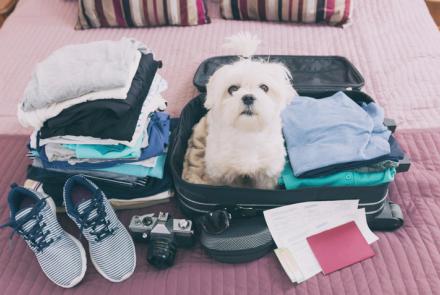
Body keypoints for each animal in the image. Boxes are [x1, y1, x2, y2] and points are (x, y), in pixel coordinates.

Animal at [180, 32, 298, 190]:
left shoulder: (266, 174)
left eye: (264, 87)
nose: (248, 97)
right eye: (233, 89)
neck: (247, 132)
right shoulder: (223, 173)